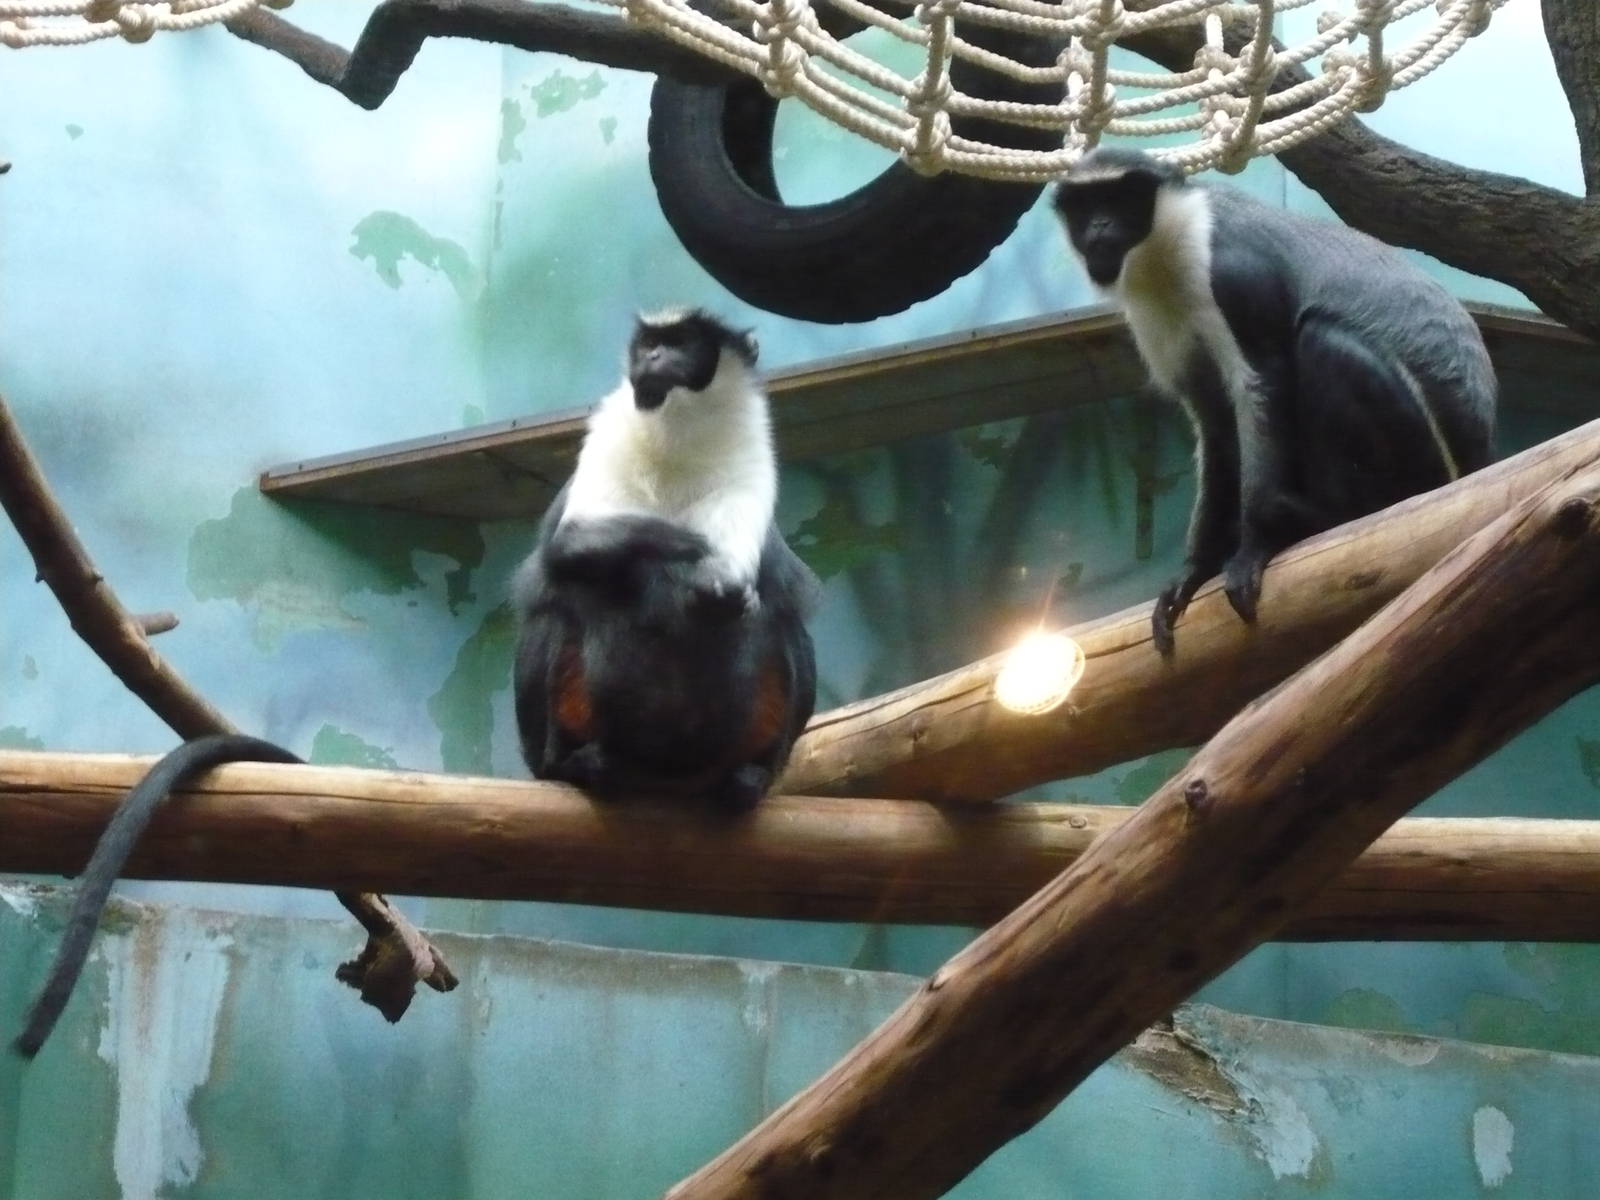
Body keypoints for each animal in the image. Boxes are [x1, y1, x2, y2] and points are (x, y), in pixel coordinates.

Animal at [513, 308, 819, 811]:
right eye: (648, 344)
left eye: (682, 343)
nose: (654, 356)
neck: (678, 431)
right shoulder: (609, 433)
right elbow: (570, 546)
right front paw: (695, 552)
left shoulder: (750, 454)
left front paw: (722, 585)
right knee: (556, 611)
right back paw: (577, 764)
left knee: (786, 625)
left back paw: (750, 775)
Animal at [1052, 147, 1496, 655]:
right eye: (1085, 205)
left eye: (1122, 198)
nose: (1100, 226)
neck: (1171, 247)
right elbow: (1216, 423)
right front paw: (1195, 568)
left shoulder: (1234, 274)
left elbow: (1264, 382)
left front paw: (1253, 546)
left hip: (1420, 458)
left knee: (1323, 339)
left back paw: (1323, 516)